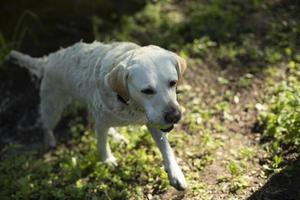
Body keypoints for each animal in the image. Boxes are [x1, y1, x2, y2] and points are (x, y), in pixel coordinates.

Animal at [9, 41, 186, 190]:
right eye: (147, 91)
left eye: (173, 83)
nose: (175, 116)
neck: (128, 102)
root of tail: (49, 59)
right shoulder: (102, 123)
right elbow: (101, 144)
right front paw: (107, 160)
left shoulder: (153, 122)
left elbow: (166, 148)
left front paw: (176, 173)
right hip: (53, 107)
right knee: (46, 125)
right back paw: (50, 140)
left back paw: (117, 136)